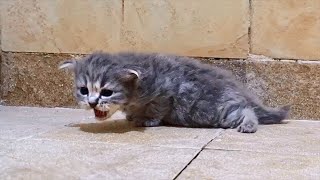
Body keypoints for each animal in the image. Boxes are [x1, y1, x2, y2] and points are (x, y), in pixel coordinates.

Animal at [58, 51, 290, 133]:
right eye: (83, 90)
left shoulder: (165, 91)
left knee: (246, 111)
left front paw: (147, 120)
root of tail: (237, 87)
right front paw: (132, 116)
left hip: (218, 110)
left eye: (106, 92)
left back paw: (248, 125)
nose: (92, 102)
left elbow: (156, 109)